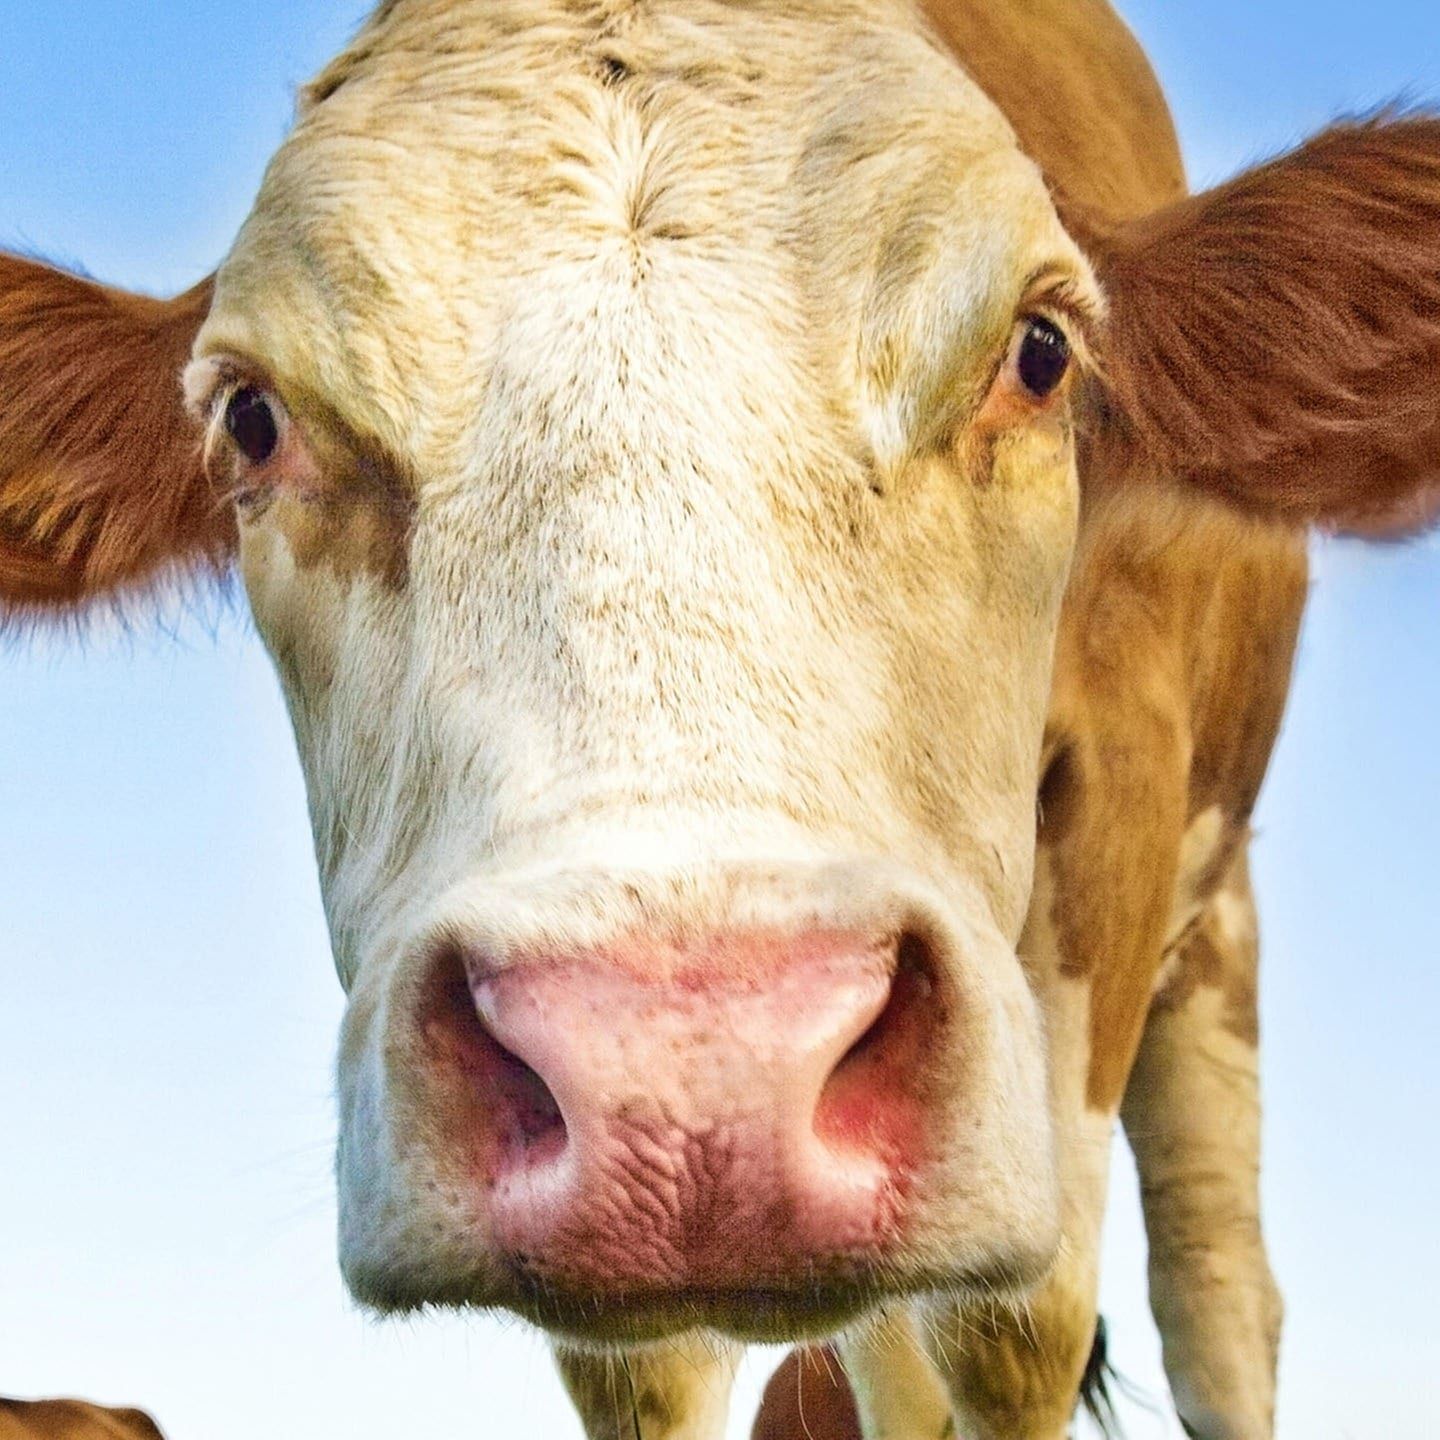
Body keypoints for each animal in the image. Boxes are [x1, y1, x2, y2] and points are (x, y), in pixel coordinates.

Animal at [2, 2, 1438, 1438]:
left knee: (1213, 1290)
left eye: (1040, 353)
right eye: (252, 418)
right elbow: (664, 1372)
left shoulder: (1124, 789)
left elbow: (1013, 1328)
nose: (695, 1070)